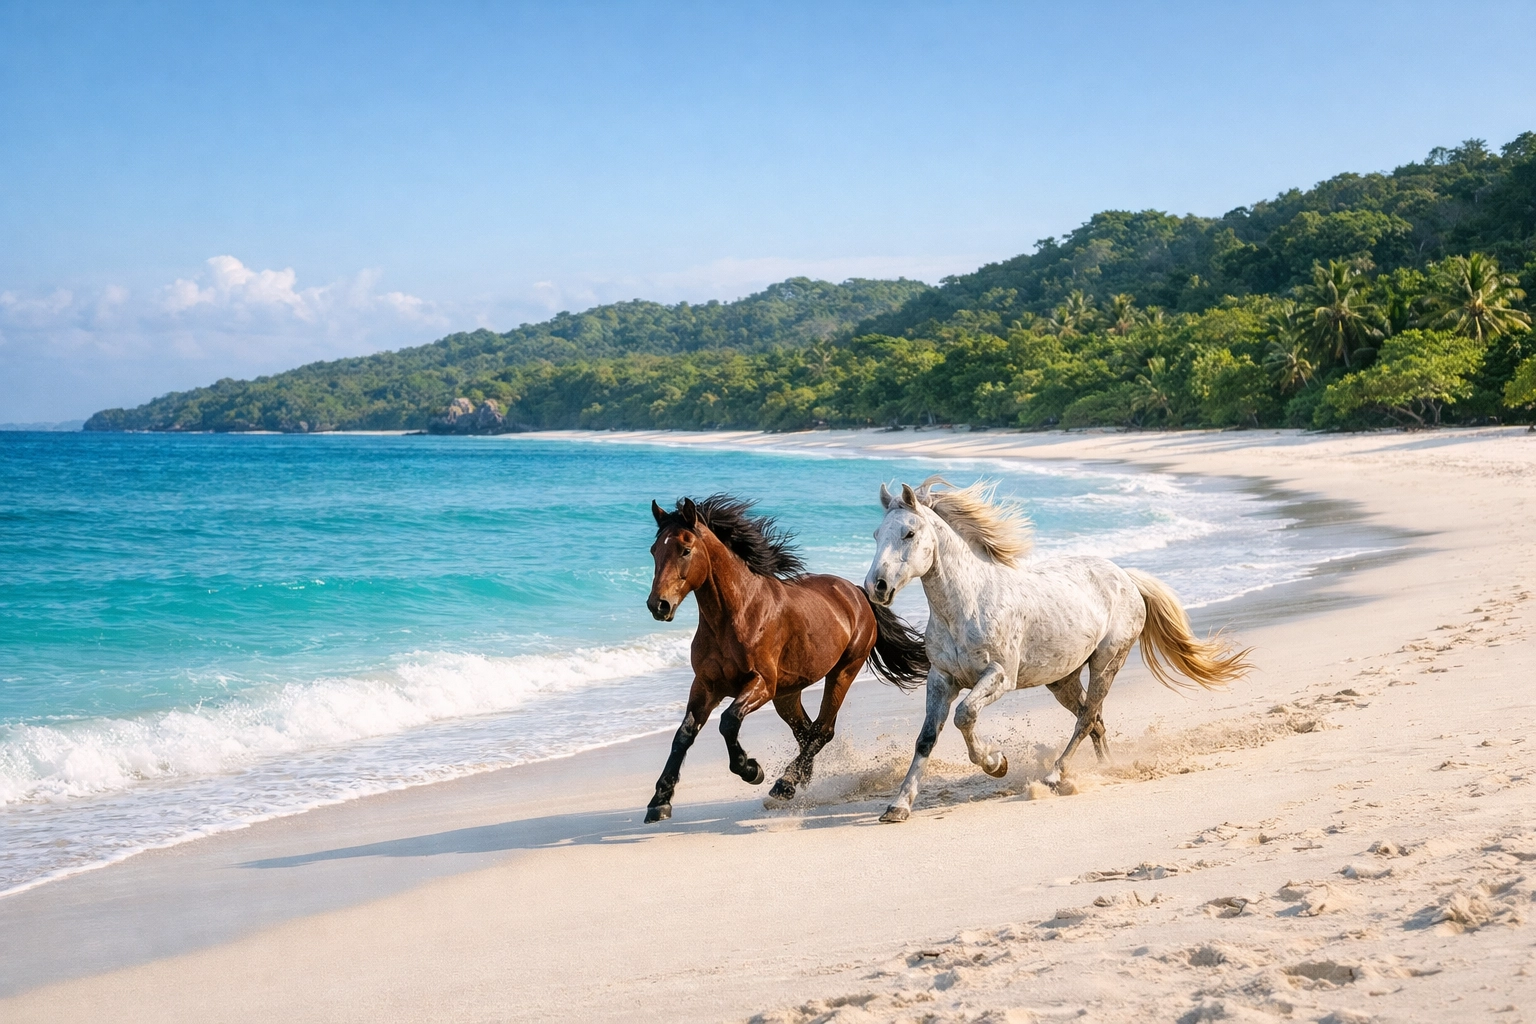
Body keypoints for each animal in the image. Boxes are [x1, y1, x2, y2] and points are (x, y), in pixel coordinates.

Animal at [643, 494, 929, 823]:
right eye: (654, 550)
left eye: (686, 549)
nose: (658, 605)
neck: (735, 614)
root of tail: (858, 594)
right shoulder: (705, 685)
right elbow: (684, 734)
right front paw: (659, 801)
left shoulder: (761, 684)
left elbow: (728, 721)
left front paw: (751, 770)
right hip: (787, 693)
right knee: (806, 731)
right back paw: (797, 780)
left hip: (842, 672)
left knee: (823, 730)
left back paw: (784, 783)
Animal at [863, 477, 1252, 823]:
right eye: (876, 535)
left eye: (909, 533)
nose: (876, 586)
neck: (967, 605)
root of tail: (1126, 577)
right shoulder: (942, 679)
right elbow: (926, 738)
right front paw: (898, 806)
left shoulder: (999, 676)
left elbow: (965, 715)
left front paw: (996, 763)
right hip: (1062, 680)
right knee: (1094, 719)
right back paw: (1103, 768)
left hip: (1106, 663)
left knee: (1087, 717)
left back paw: (1054, 776)